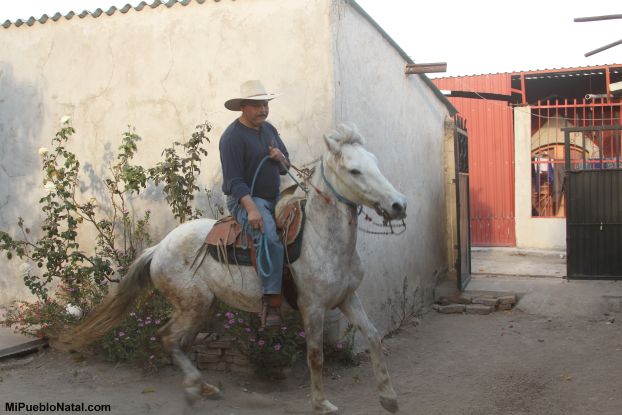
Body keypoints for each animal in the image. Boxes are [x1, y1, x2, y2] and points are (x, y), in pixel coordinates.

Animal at [61, 122, 408, 412]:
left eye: (375, 163)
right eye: (354, 171)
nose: (398, 205)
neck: (322, 240)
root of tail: (159, 247)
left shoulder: (347, 298)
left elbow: (374, 337)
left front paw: (389, 397)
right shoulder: (313, 307)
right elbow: (316, 355)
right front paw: (322, 402)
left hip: (204, 306)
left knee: (177, 340)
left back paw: (202, 387)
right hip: (195, 303)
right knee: (169, 338)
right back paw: (196, 388)